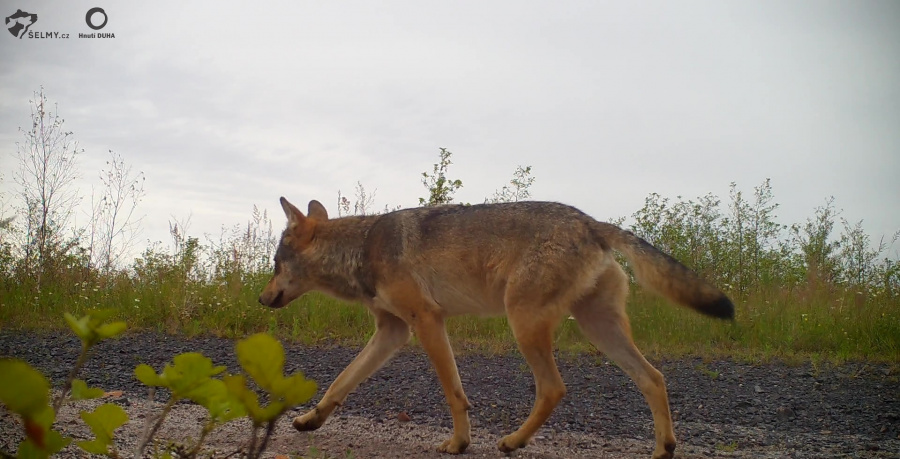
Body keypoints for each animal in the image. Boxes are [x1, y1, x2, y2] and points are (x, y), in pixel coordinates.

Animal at [258, 199, 732, 459]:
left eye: (276, 265)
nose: (261, 300)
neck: (360, 249)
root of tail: (590, 221)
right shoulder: (393, 332)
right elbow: (341, 381)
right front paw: (310, 420)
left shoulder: (427, 321)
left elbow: (454, 393)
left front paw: (459, 443)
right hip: (598, 329)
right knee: (654, 378)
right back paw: (662, 448)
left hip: (524, 323)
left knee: (554, 388)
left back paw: (512, 442)